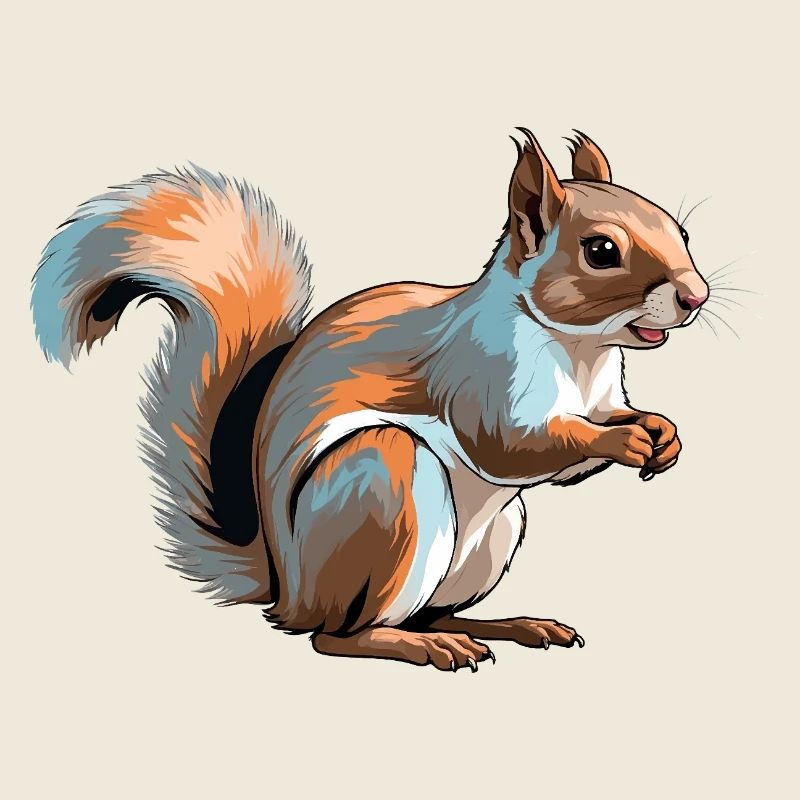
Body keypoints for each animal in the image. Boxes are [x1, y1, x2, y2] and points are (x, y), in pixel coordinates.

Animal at [31, 129, 709, 671]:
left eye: (682, 231)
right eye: (601, 251)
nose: (695, 296)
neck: (578, 349)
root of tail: (288, 591)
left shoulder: (603, 390)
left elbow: (600, 427)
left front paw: (660, 431)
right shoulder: (476, 374)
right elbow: (510, 445)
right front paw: (621, 440)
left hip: (492, 540)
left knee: (429, 612)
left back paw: (506, 626)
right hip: (382, 479)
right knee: (336, 636)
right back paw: (417, 646)